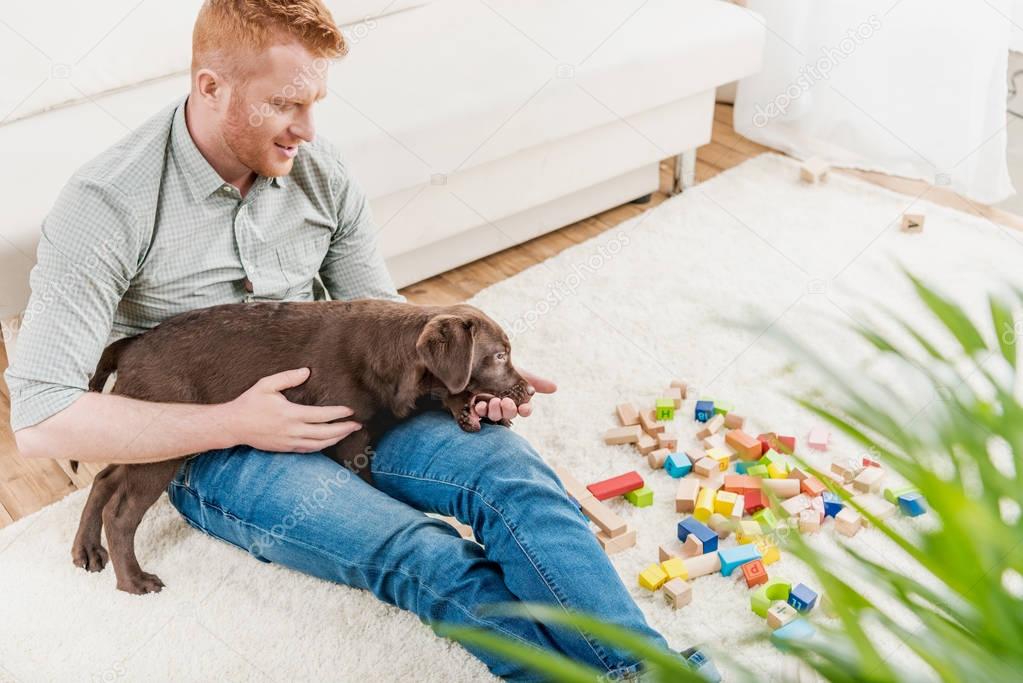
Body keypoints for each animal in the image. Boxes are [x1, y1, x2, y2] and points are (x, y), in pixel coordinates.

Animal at [70, 298, 536, 593]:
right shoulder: (349, 442)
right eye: (499, 356)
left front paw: (471, 409)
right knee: (121, 512)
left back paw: (87, 549)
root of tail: (128, 345)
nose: (529, 390)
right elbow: (369, 480)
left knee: (105, 479)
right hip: (165, 440)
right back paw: (133, 582)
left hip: (145, 438)